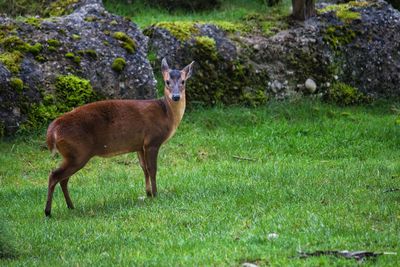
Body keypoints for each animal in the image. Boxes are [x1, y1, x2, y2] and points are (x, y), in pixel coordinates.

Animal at [43, 58, 194, 218]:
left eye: (183, 81)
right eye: (167, 82)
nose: (176, 96)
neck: (166, 114)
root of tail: (52, 131)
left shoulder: (140, 145)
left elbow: (144, 168)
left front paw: (148, 193)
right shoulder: (152, 141)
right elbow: (152, 169)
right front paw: (155, 194)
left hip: (73, 154)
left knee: (63, 179)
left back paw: (71, 206)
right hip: (78, 152)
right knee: (54, 175)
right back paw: (48, 212)